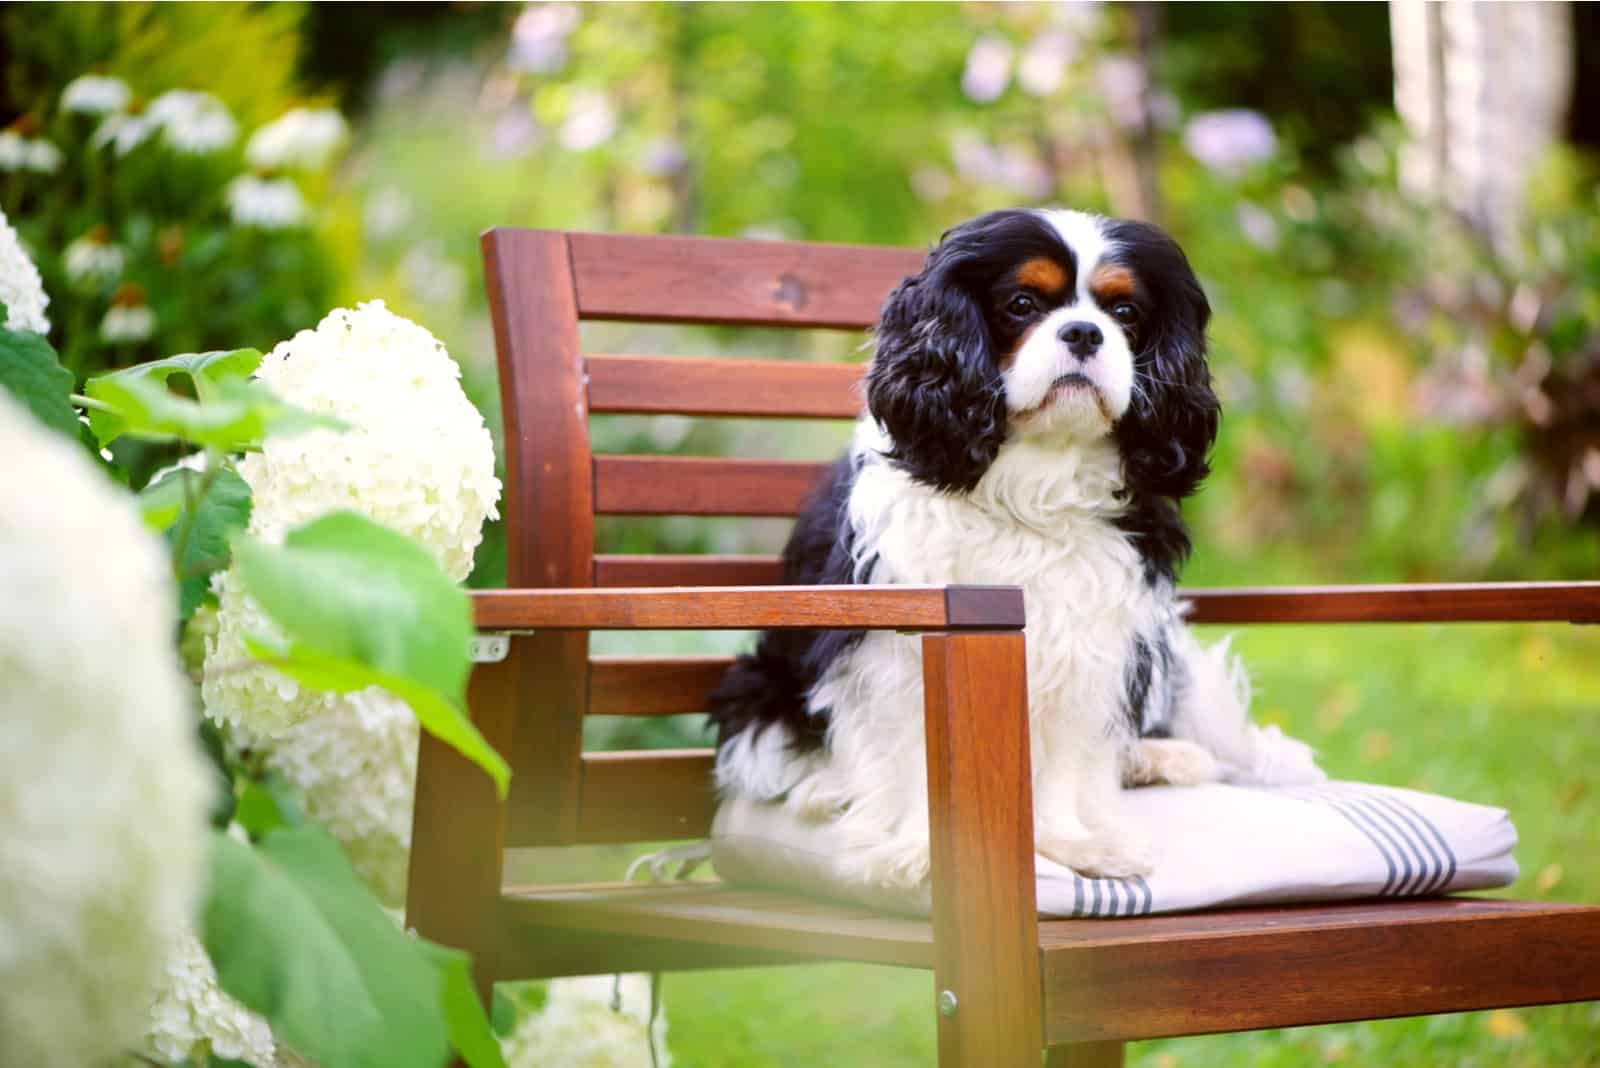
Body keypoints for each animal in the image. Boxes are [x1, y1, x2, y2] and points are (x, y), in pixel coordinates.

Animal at [710, 206, 1324, 882]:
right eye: (1023, 303)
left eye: (1125, 311)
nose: (1084, 332)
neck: (1034, 479)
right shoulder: (896, 644)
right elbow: (913, 754)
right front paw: (920, 849)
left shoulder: (1086, 639)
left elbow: (1063, 762)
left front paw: (1074, 843)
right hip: (758, 683)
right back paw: (824, 788)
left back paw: (1156, 758)